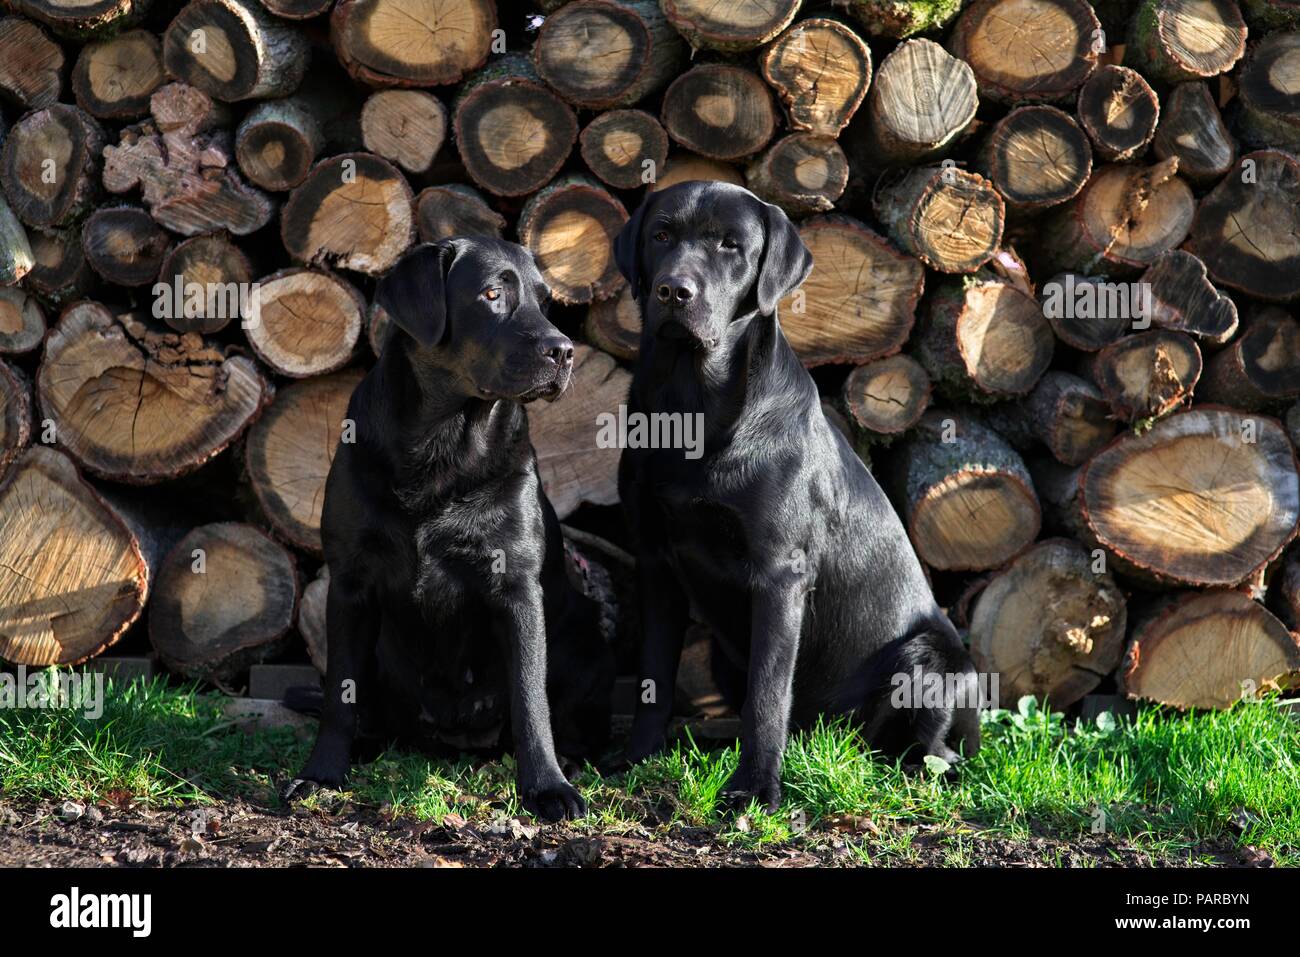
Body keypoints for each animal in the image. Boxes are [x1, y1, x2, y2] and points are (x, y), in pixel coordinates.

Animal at [283, 239, 613, 821]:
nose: (564, 350)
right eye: (491, 294)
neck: (442, 445)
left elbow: (530, 699)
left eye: (546, 302)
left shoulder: (517, 588)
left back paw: (570, 763)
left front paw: (547, 788)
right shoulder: (350, 586)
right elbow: (339, 696)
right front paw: (320, 775)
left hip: (587, 640)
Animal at [613, 183, 977, 811]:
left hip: (931, 661)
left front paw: (755, 787)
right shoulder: (655, 562)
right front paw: (637, 761)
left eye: (730, 245)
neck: (691, 407)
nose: (674, 291)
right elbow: (653, 679)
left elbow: (766, 694)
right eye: (660, 234)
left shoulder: (780, 574)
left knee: (929, 751)